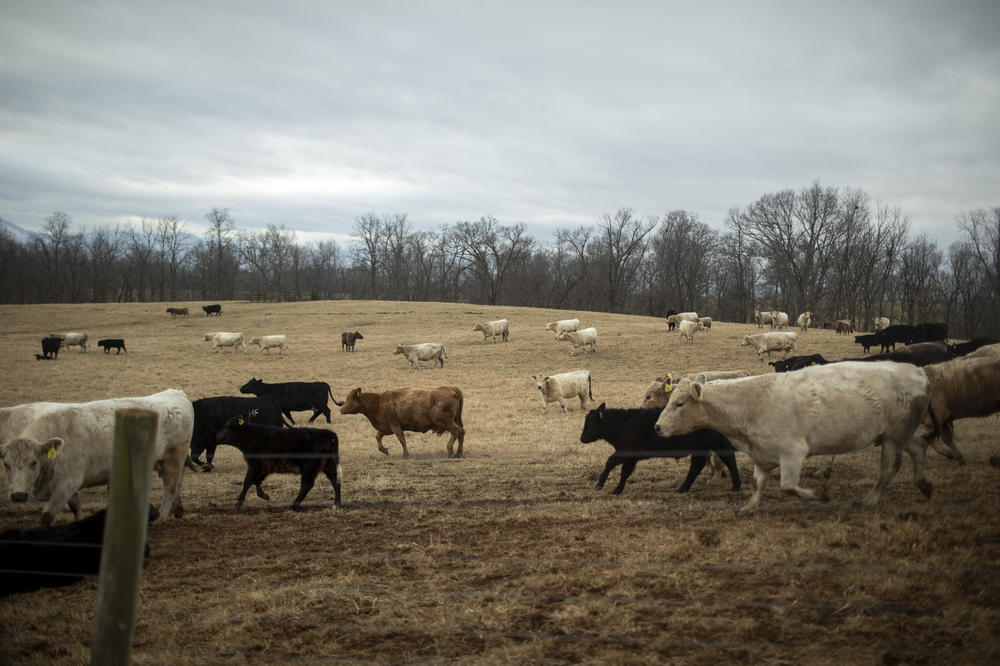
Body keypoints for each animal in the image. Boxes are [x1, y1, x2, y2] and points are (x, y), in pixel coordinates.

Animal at [0, 390, 194, 524]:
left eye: (33, 463)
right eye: (6, 464)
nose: (18, 495)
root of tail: (176, 393)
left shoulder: (67, 484)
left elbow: (47, 517)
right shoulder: (67, 486)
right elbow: (75, 506)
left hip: (173, 459)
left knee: (170, 487)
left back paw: (161, 518)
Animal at [213, 416, 342, 508]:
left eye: (227, 427)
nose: (217, 437)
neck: (251, 435)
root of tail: (329, 434)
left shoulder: (255, 465)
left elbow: (248, 481)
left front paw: (238, 503)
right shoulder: (264, 467)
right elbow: (256, 481)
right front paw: (264, 495)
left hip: (309, 468)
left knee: (307, 485)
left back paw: (294, 505)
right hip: (328, 465)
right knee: (335, 482)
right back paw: (336, 504)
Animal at [580, 402, 744, 496]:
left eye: (590, 422)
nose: (582, 438)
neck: (623, 423)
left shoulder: (626, 452)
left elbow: (612, 464)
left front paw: (602, 485)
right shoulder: (630, 457)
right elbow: (624, 471)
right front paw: (616, 489)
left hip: (718, 444)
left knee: (729, 460)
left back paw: (736, 486)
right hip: (701, 447)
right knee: (697, 466)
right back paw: (683, 488)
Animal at [656, 360, 936, 510]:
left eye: (679, 403)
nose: (657, 427)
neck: (751, 403)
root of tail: (918, 372)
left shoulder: (792, 453)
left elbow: (788, 486)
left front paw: (819, 495)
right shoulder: (761, 454)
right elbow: (758, 483)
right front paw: (749, 507)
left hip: (894, 438)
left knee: (888, 469)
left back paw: (870, 499)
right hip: (896, 435)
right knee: (919, 447)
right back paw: (924, 484)